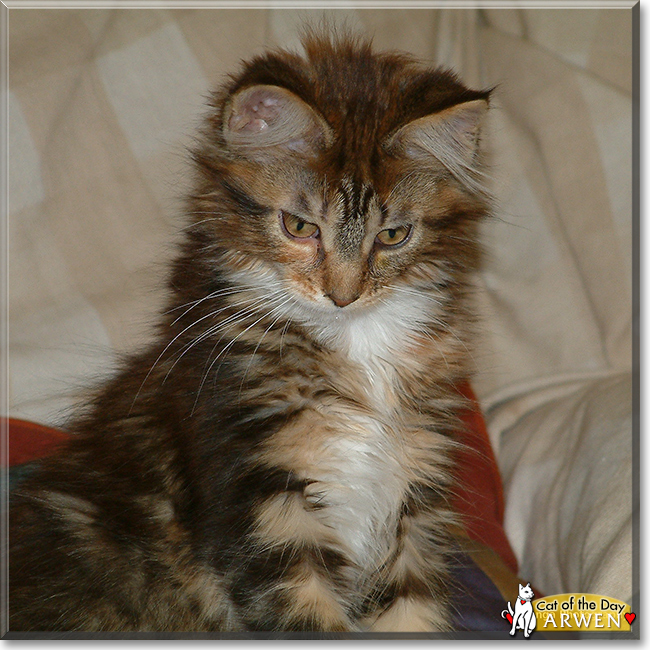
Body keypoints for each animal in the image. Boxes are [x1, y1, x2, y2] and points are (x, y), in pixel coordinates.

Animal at [7, 33, 492, 632]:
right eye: (299, 227)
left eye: (393, 236)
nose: (344, 296)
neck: (355, 345)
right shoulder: (260, 497)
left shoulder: (414, 497)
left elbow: (411, 613)